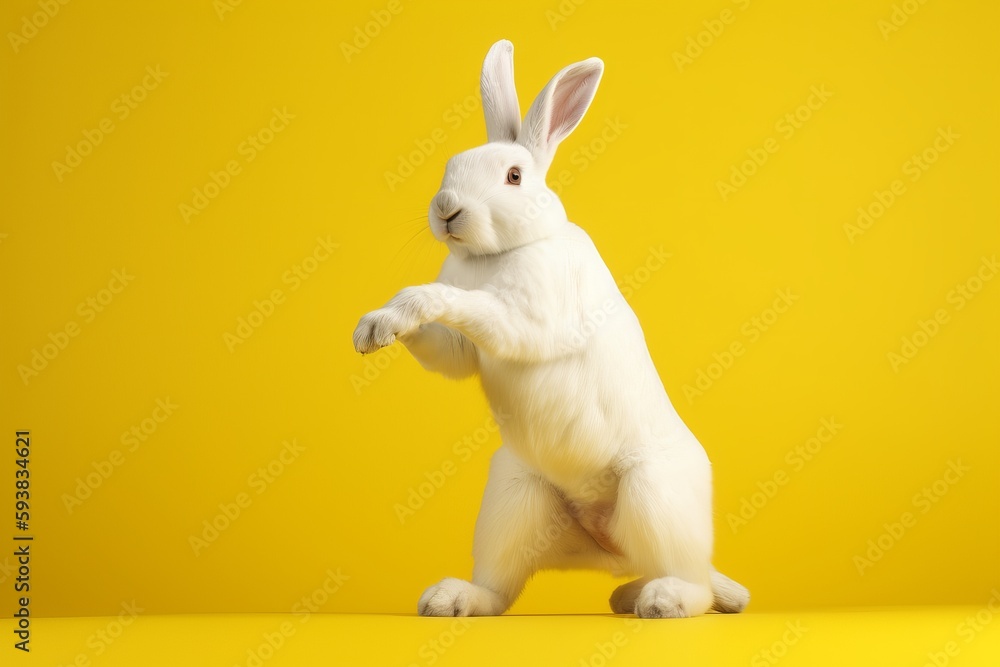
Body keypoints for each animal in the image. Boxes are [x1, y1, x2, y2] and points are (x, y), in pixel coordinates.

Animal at [352, 40, 749, 619]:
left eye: (514, 177)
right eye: (450, 167)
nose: (446, 209)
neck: (495, 255)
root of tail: (607, 548)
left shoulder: (525, 318)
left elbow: (462, 303)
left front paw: (399, 310)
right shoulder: (459, 347)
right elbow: (446, 350)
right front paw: (374, 328)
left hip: (652, 494)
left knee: (691, 581)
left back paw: (660, 601)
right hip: (515, 495)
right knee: (499, 588)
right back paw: (454, 598)